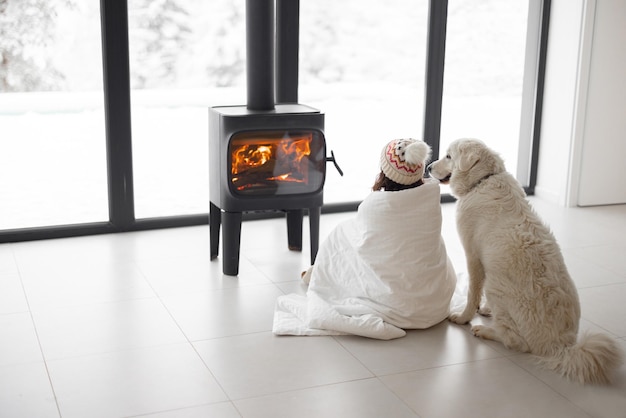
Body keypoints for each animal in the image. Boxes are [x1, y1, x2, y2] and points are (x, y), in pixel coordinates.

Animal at [426, 139, 620, 384]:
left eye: (449, 156)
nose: (428, 167)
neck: (483, 180)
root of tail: (561, 347)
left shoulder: (473, 257)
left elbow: (472, 294)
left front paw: (464, 317)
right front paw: (486, 309)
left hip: (496, 286)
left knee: (516, 342)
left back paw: (486, 331)